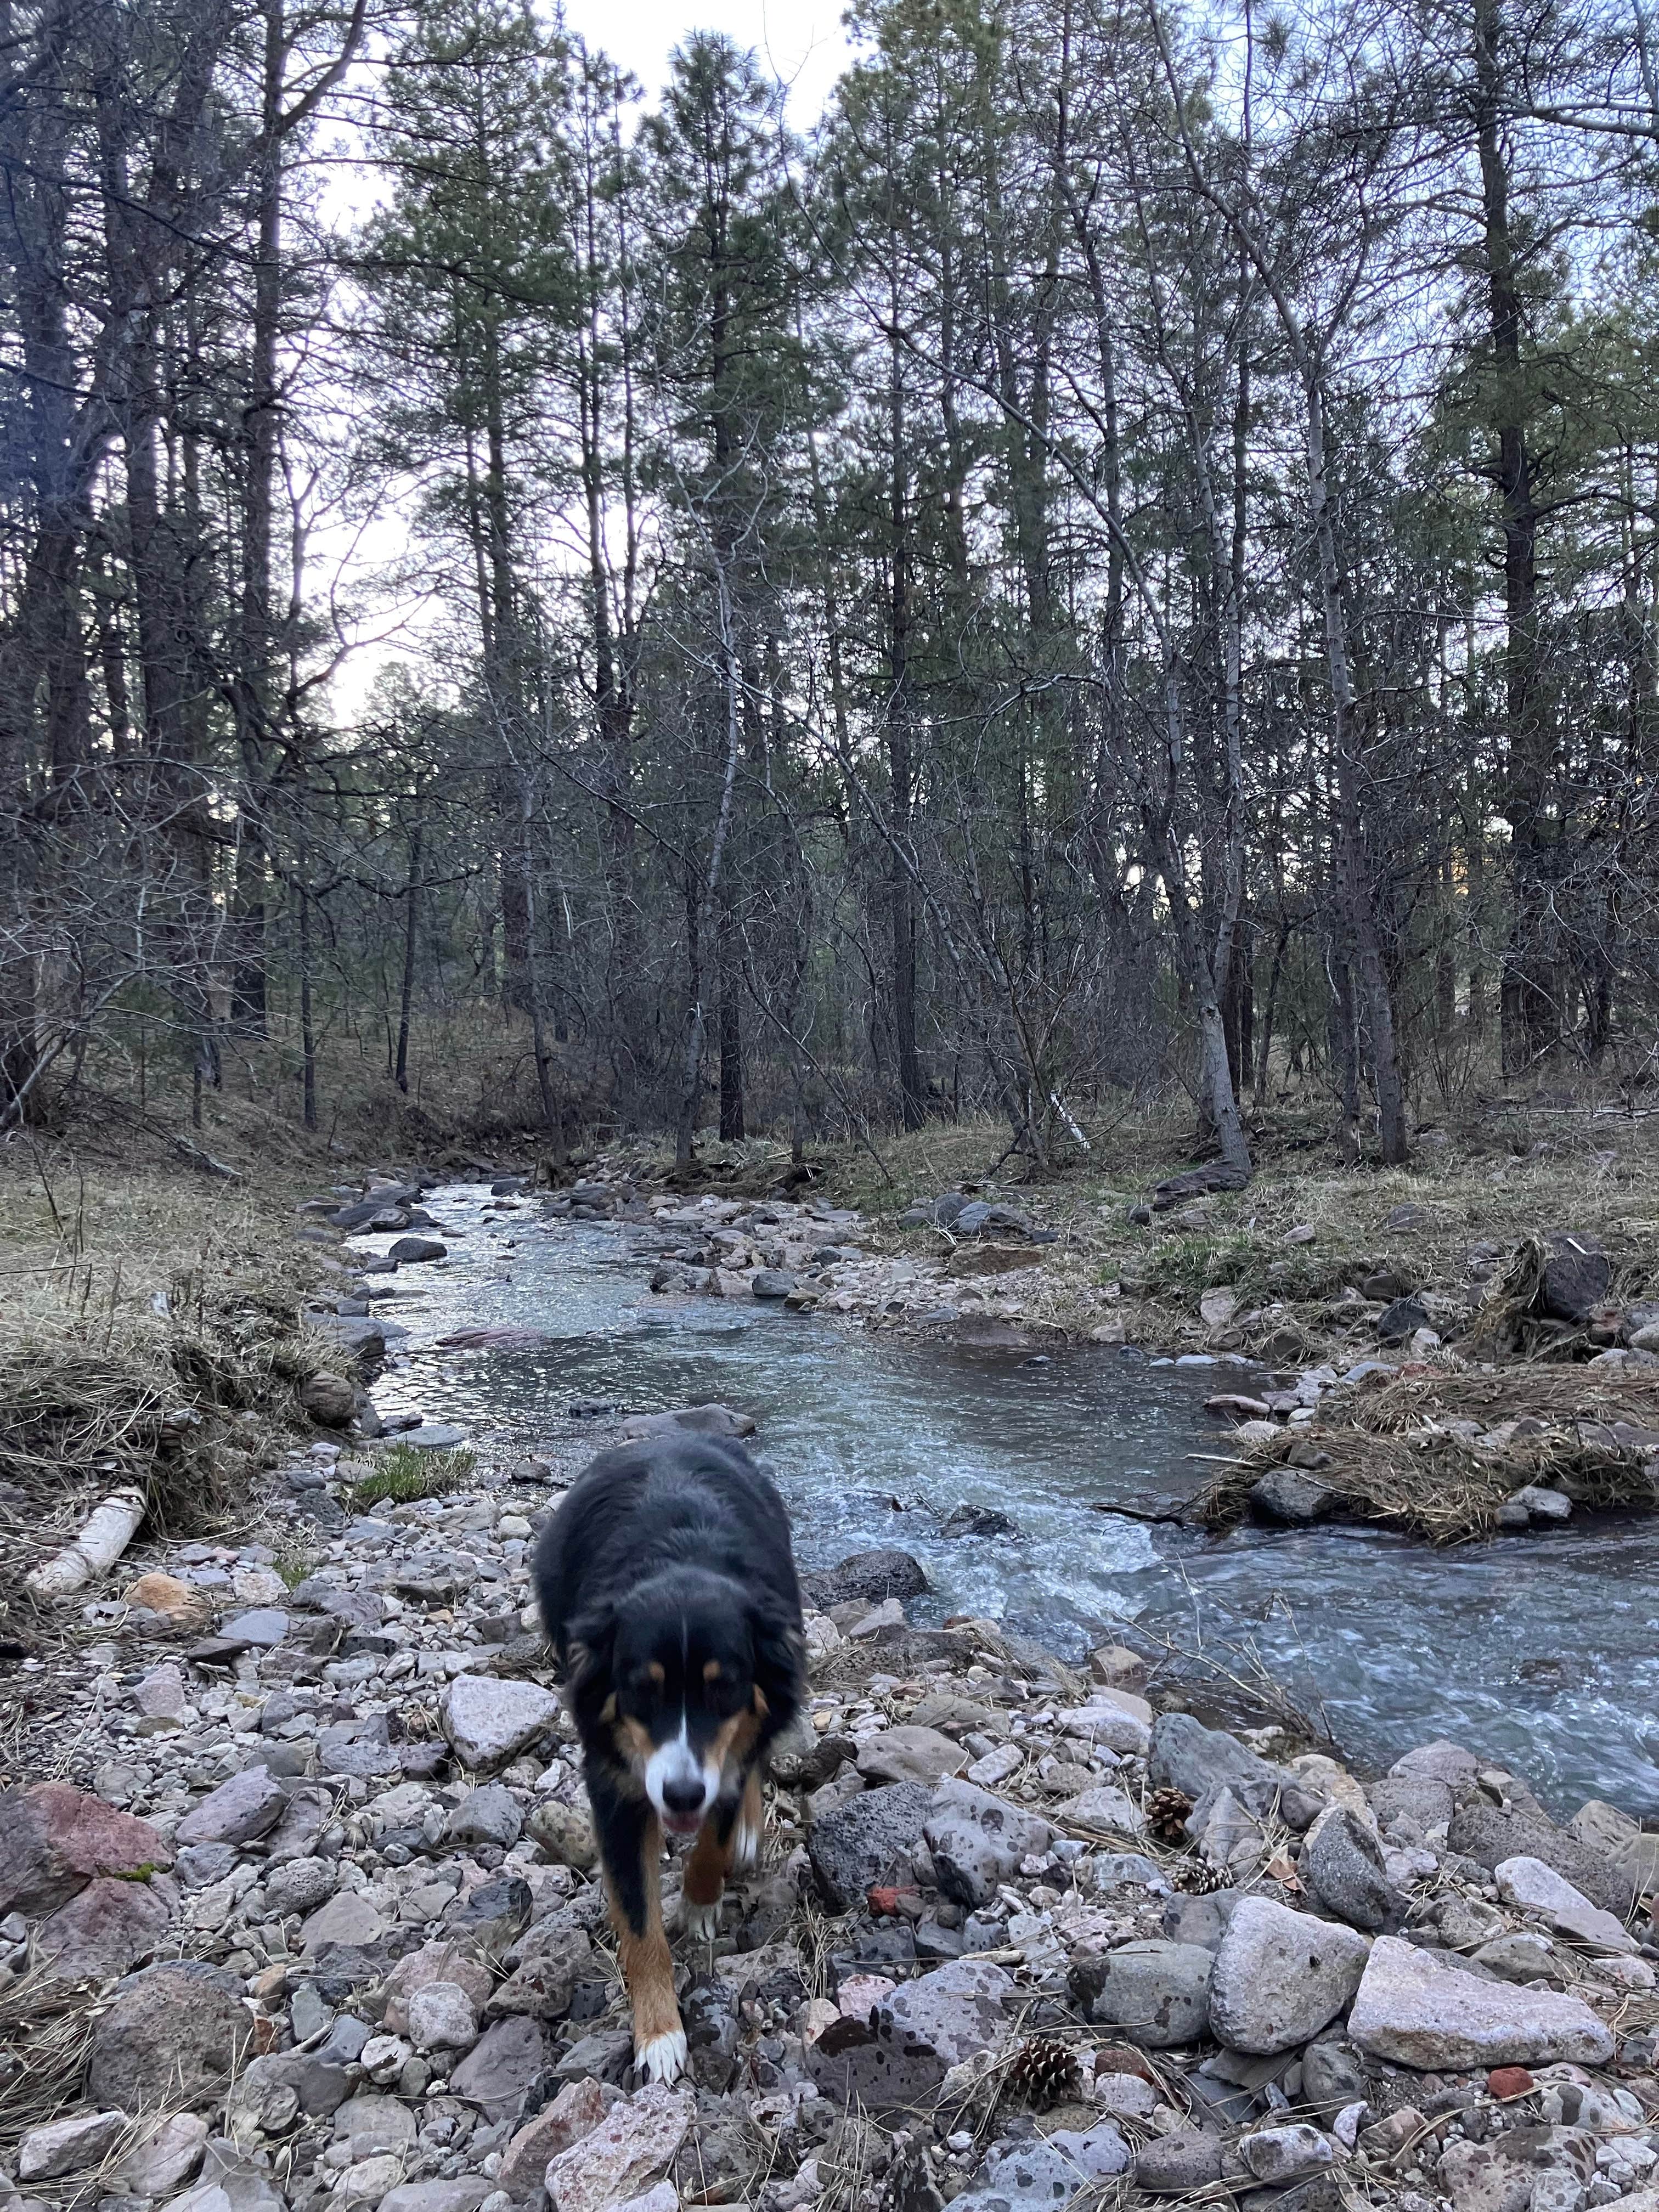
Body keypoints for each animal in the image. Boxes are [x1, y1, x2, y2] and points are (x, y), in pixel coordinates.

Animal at [535, 1424, 809, 2079]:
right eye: (642, 1689)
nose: (682, 1794)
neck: (682, 1557)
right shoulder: (612, 1782)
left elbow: (715, 1831)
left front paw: (702, 1900)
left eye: (724, 1687)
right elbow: (639, 1922)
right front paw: (658, 2034)